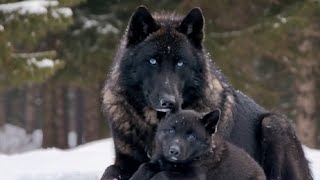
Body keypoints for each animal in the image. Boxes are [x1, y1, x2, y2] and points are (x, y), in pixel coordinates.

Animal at [129, 109, 266, 179]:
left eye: (192, 137)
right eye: (171, 130)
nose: (174, 151)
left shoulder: (195, 176)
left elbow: (163, 174)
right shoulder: (159, 162)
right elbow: (144, 167)